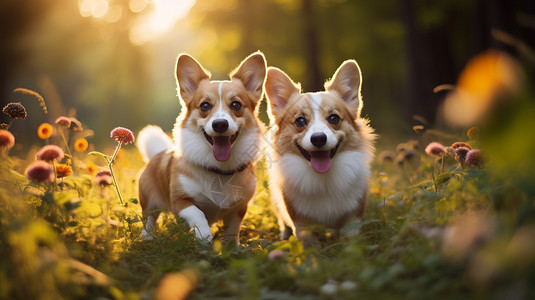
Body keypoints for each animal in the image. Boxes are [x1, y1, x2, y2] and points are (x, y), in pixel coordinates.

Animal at [136, 51, 266, 244]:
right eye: (205, 105)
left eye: (236, 105)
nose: (220, 124)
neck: (220, 170)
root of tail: (157, 154)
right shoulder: (180, 201)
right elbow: (197, 213)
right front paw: (204, 233)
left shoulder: (239, 209)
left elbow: (232, 232)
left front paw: (233, 247)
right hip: (149, 202)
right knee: (149, 219)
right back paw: (148, 236)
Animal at [264, 59, 374, 244]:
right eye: (300, 121)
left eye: (334, 118)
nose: (318, 139)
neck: (323, 179)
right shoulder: (301, 225)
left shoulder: (353, 219)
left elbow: (350, 241)